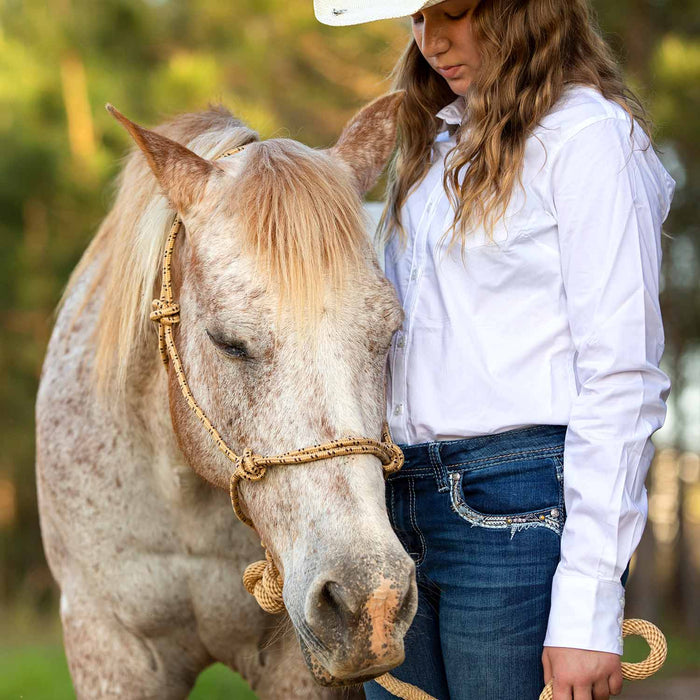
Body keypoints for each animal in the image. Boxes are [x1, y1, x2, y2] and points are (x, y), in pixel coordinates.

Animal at [35, 94, 416, 700]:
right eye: (228, 342)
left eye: (389, 334)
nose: (370, 600)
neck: (181, 496)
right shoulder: (108, 643)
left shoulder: (294, 668)